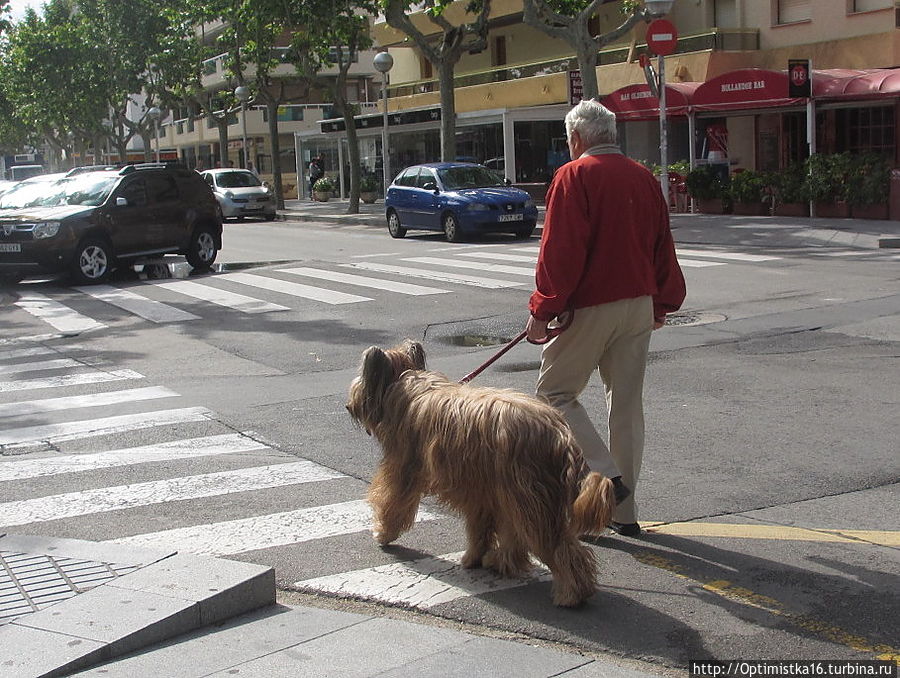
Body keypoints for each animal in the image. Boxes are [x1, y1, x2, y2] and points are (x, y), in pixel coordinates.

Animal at [346, 342, 620, 608]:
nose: (349, 406)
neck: (404, 380)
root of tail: (560, 432)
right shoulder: (479, 491)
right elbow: (478, 527)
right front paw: (473, 557)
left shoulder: (404, 467)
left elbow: (393, 501)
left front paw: (383, 533)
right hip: (515, 493)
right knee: (519, 534)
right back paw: (502, 561)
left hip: (530, 497)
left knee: (560, 547)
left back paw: (571, 594)